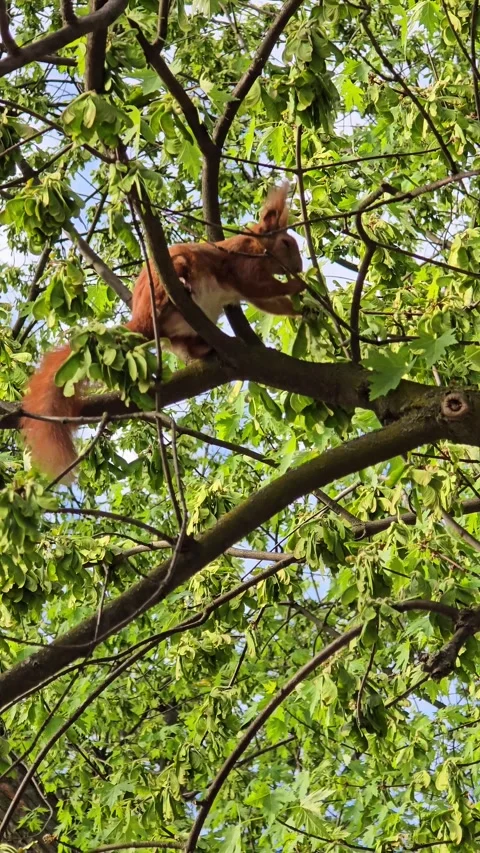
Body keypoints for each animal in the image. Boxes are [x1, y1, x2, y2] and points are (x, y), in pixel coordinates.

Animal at [21, 184, 304, 480]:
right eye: (286, 243)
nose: (299, 268)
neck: (256, 248)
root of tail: (142, 320)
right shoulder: (242, 266)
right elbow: (261, 287)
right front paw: (297, 286)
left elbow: (267, 302)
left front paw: (305, 308)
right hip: (165, 278)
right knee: (175, 280)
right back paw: (179, 287)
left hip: (181, 334)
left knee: (188, 347)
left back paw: (207, 346)